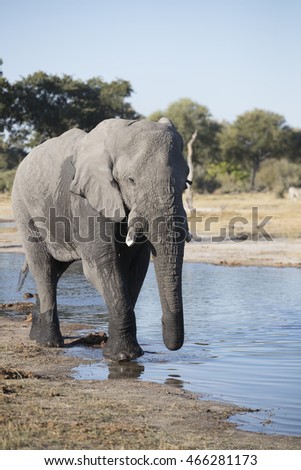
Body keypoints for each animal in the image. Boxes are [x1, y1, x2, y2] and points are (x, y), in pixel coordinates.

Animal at [12, 117, 190, 360]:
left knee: (55, 270)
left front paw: (124, 352)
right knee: (44, 267)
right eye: (131, 180)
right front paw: (123, 356)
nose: (162, 325)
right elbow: (102, 265)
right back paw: (49, 343)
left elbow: (136, 267)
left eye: (186, 183)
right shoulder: (86, 200)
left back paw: (36, 336)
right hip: (24, 209)